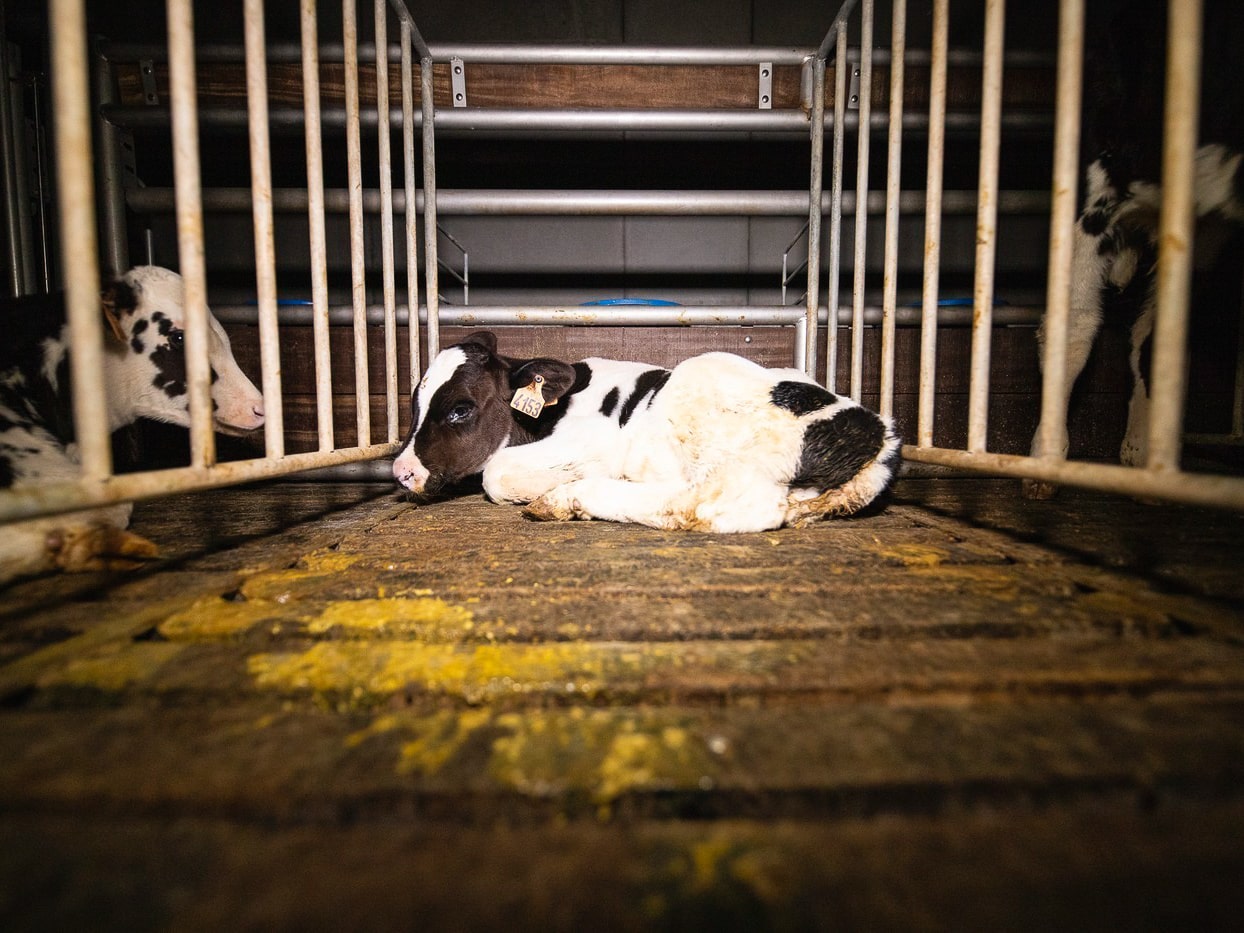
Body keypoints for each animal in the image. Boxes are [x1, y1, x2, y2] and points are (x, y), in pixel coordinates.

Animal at [393, 333, 900, 532]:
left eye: (460, 409)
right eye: (414, 404)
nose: (400, 471)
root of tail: (878, 433)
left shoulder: (599, 442)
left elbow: (494, 473)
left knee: (708, 506)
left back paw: (566, 498)